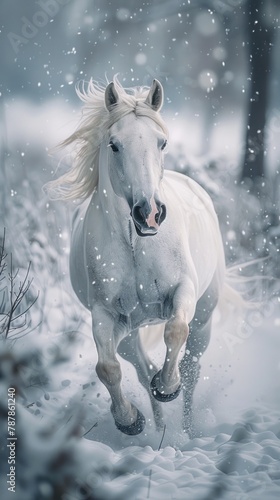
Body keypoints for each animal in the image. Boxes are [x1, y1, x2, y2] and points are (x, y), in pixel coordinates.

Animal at [47, 78, 232, 438]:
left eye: (162, 142)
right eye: (114, 145)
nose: (149, 213)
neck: (136, 245)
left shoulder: (184, 293)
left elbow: (175, 331)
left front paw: (168, 387)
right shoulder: (105, 315)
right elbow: (107, 368)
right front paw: (130, 421)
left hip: (204, 317)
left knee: (191, 367)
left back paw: (187, 431)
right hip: (130, 335)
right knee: (144, 371)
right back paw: (158, 428)